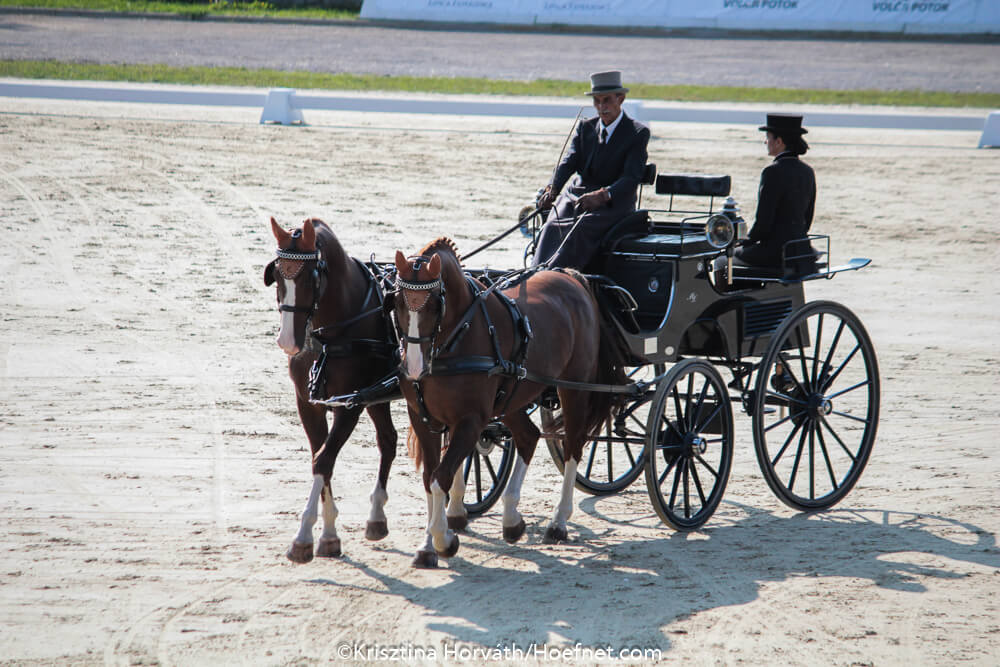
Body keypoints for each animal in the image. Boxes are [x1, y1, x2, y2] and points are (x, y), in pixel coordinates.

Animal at [264, 217, 398, 563]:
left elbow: (324, 460)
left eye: (310, 277)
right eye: (277, 274)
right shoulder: (309, 403)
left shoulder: (349, 404)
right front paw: (328, 536)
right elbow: (320, 455)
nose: (288, 341)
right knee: (388, 440)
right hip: (377, 396)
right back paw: (377, 517)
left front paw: (302, 537)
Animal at [390, 237, 625, 568]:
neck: (456, 338)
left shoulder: (471, 421)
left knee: (573, 446)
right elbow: (429, 479)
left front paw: (442, 540)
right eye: (397, 302)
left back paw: (558, 521)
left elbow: (441, 478)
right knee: (529, 436)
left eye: (435, 304)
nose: (413, 366)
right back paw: (512, 518)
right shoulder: (423, 418)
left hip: (574, 389)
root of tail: (570, 276)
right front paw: (428, 545)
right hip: (512, 398)